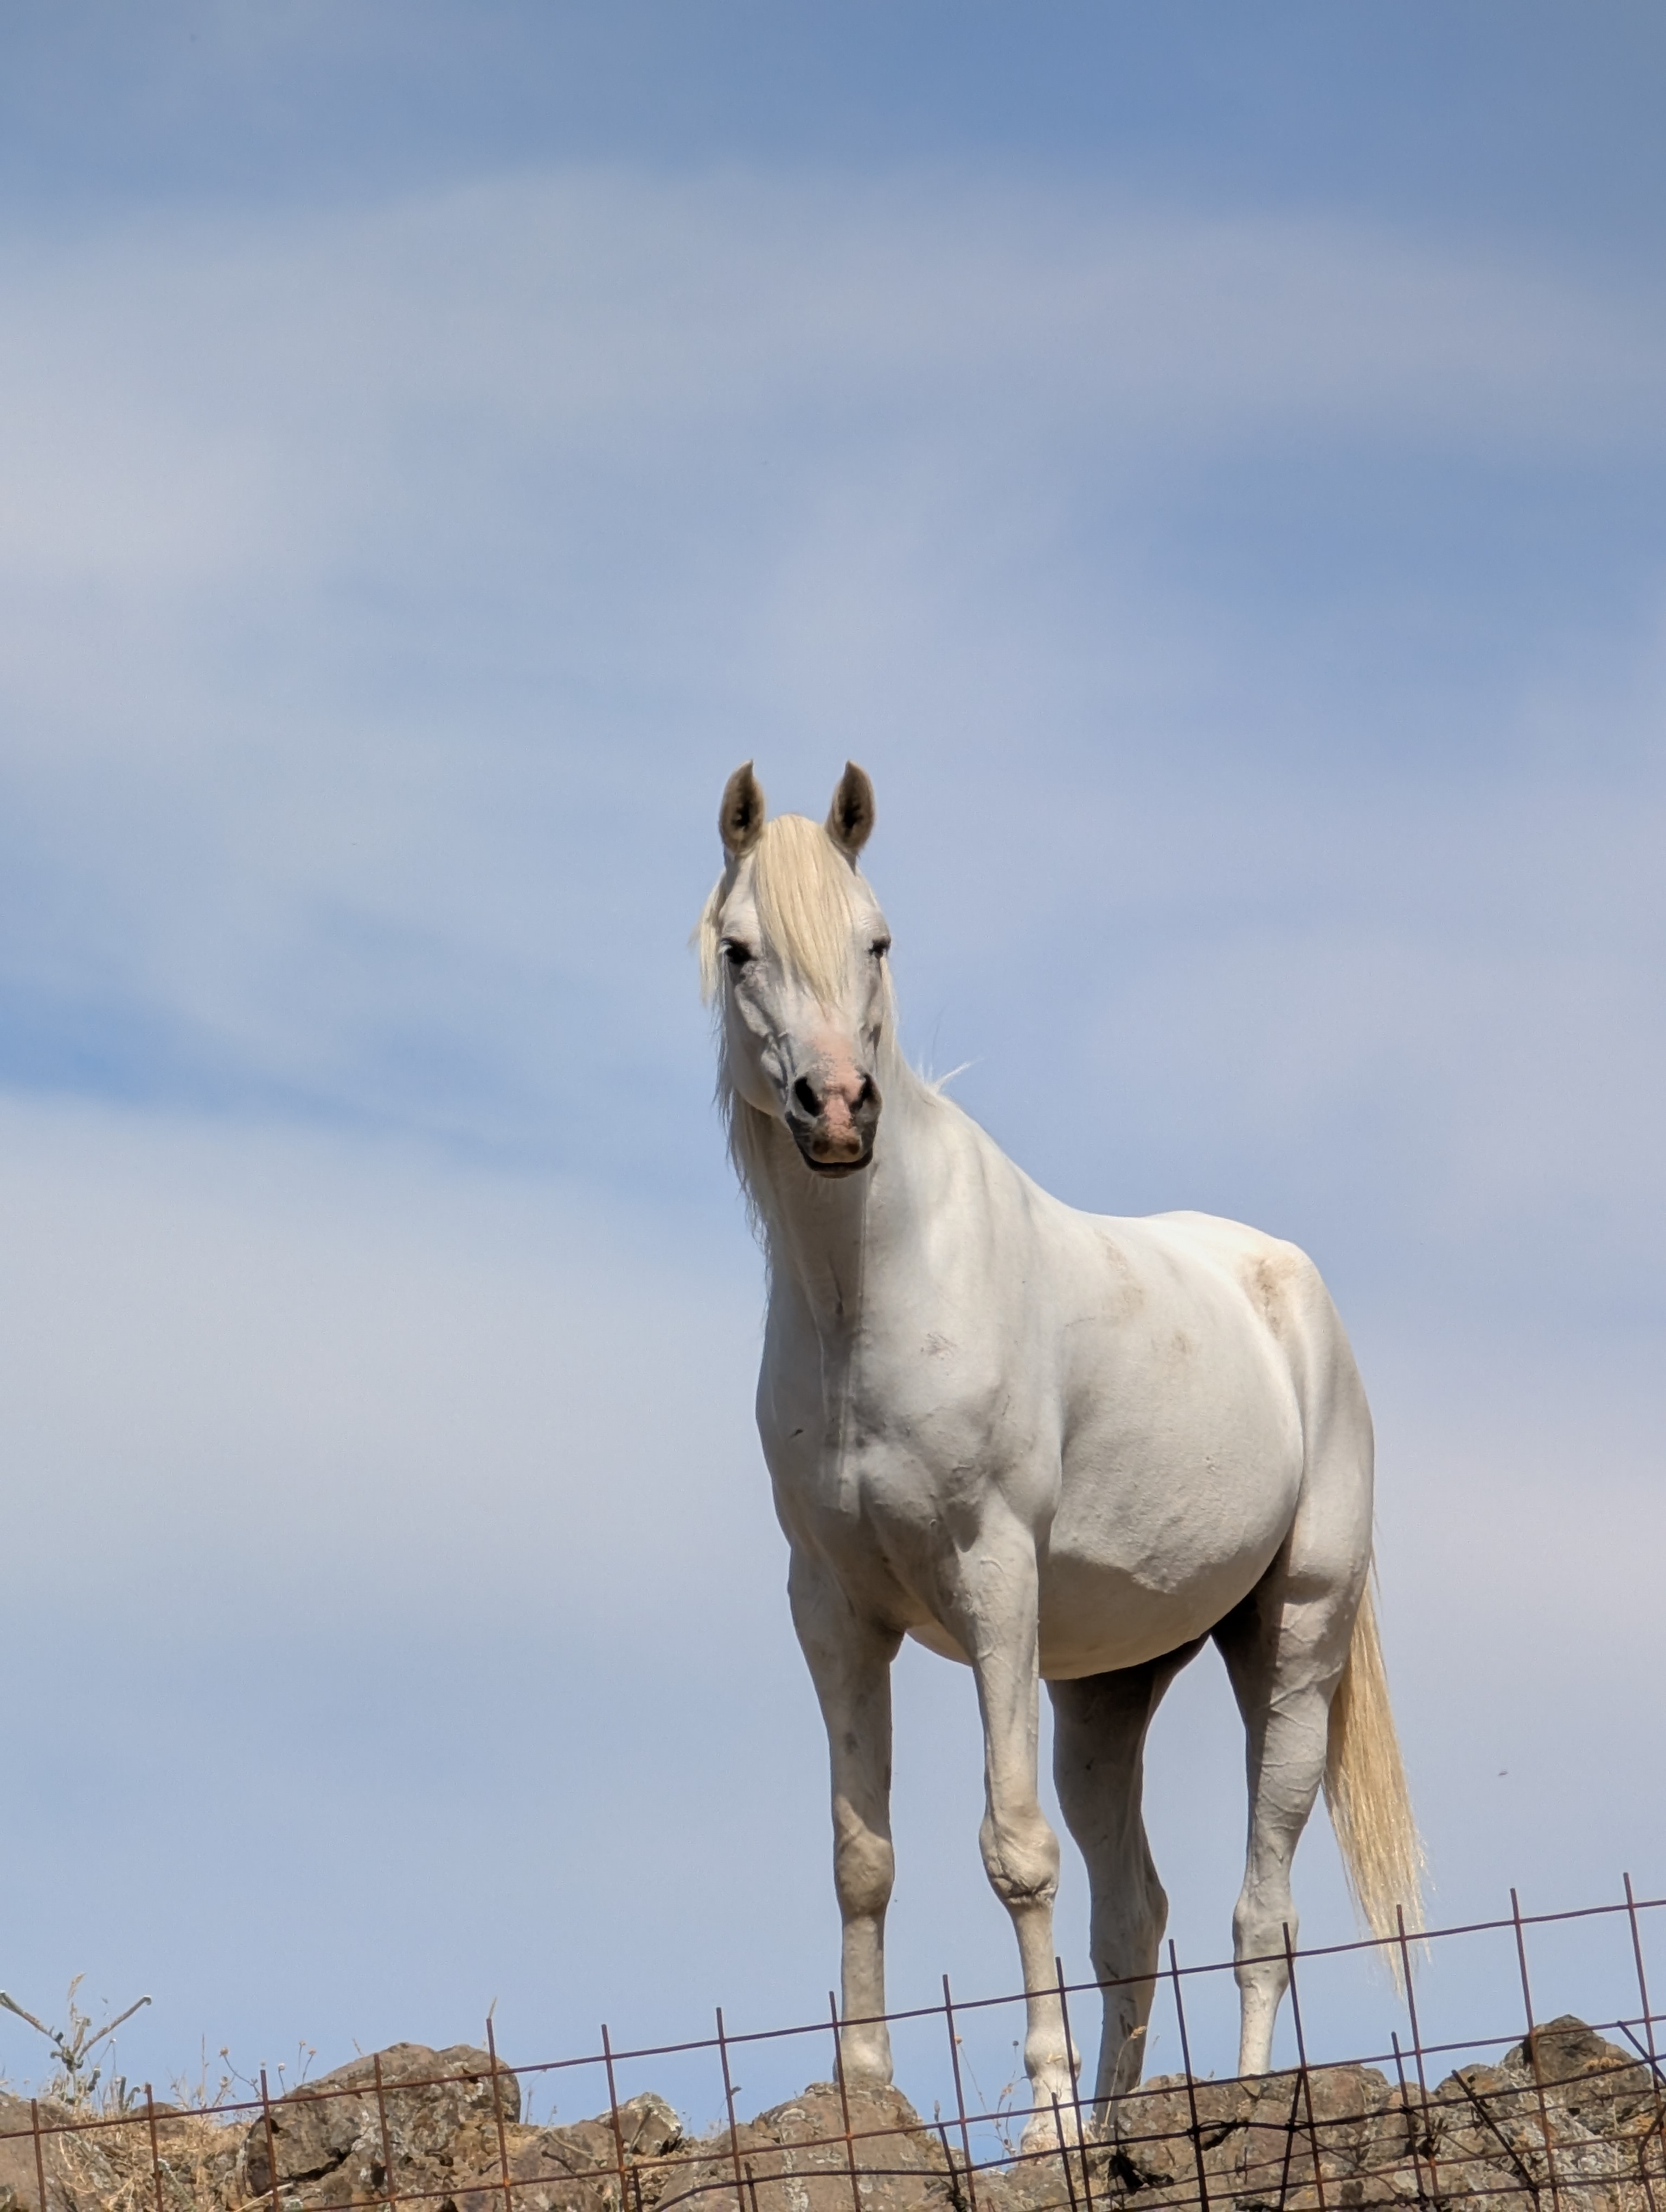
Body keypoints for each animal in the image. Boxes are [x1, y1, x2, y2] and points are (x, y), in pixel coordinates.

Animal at [697, 760, 1422, 2144]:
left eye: (877, 939)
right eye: (739, 947)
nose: (837, 1110)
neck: (875, 1292)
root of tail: (1292, 1295)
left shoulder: (993, 1581)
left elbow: (1012, 1849)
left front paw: (1041, 2119)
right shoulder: (831, 1608)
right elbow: (861, 1854)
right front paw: (865, 2100)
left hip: (1290, 1645)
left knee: (1260, 1910)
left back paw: (1233, 2100)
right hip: (1104, 1690)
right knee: (1133, 1915)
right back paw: (1125, 2109)